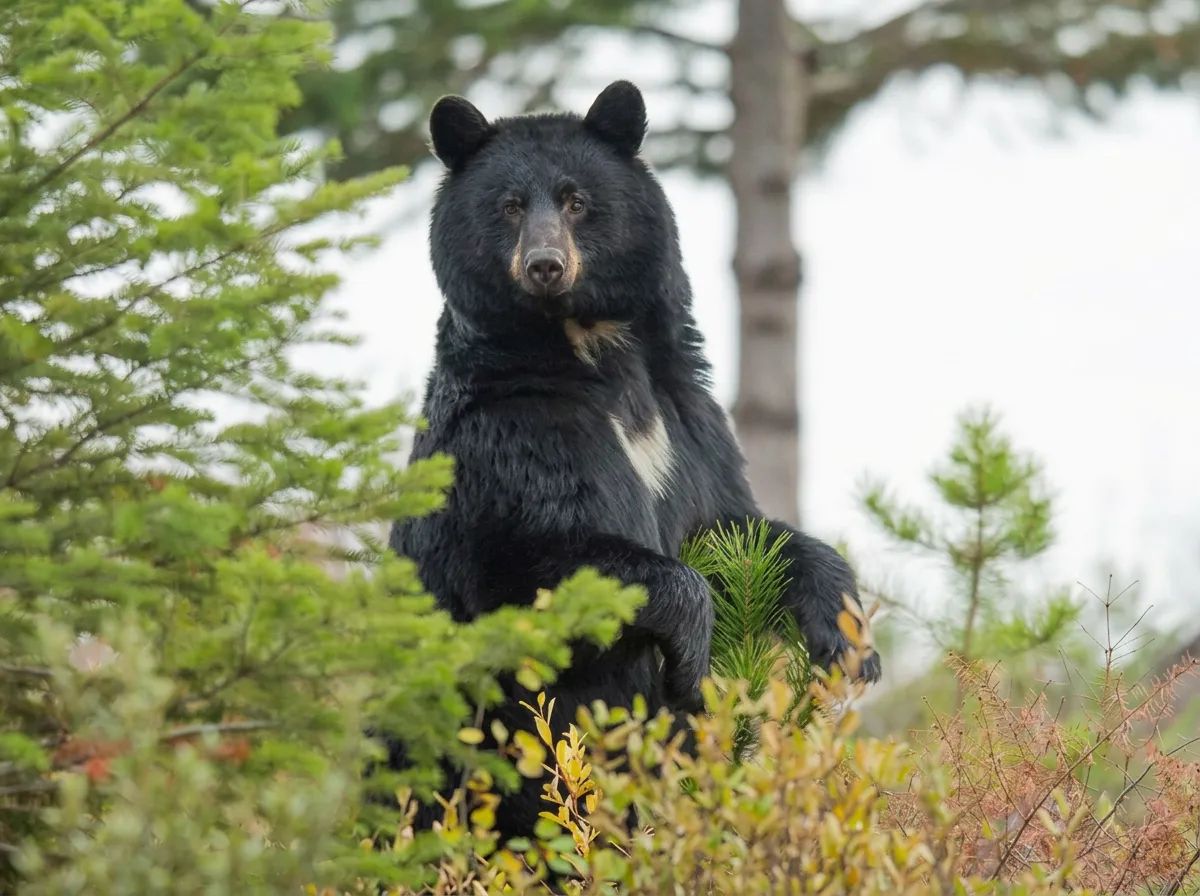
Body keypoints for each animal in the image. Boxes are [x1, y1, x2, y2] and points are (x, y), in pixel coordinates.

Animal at [390, 80, 881, 839]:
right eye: (508, 206)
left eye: (575, 199)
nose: (545, 265)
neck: (593, 348)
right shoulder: (510, 434)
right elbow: (538, 559)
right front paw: (691, 655)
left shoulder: (689, 422)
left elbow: (736, 527)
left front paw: (848, 638)